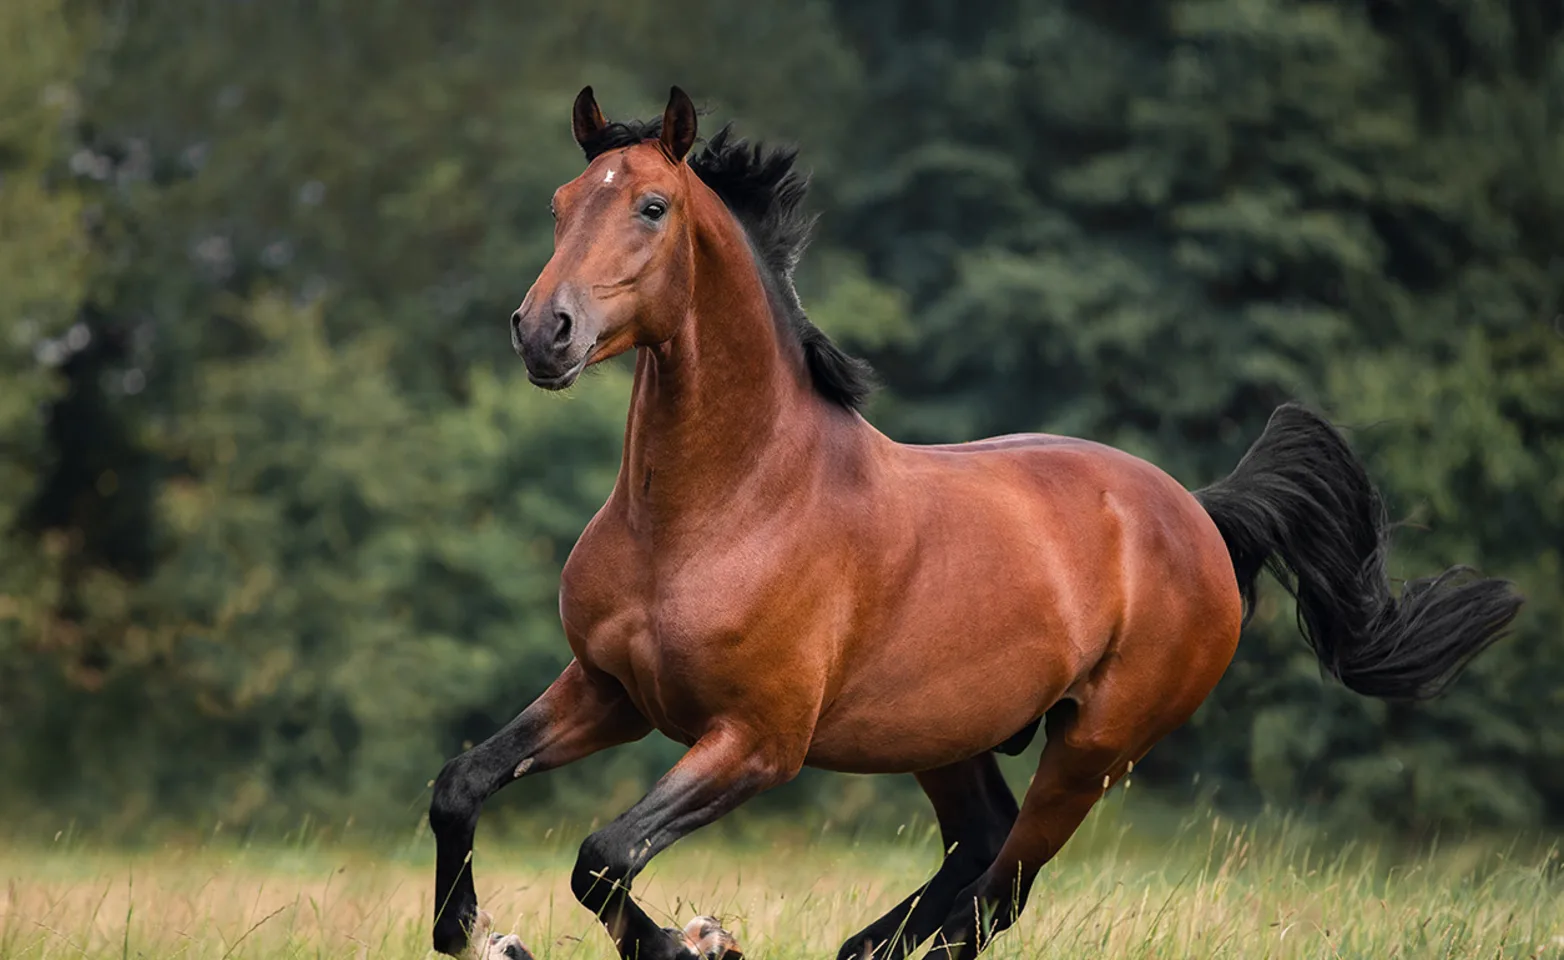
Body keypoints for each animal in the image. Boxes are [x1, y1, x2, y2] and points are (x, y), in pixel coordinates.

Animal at [427, 85, 1523, 960]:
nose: (544, 332)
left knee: (997, 896)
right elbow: (463, 784)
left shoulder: (756, 742)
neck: (721, 508)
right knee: (976, 853)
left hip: (1090, 753)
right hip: (944, 738)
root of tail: (1201, 516)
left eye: (651, 206)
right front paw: (473, 931)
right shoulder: (610, 689)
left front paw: (686, 944)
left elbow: (605, 853)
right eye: (562, 204)